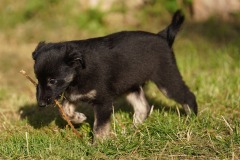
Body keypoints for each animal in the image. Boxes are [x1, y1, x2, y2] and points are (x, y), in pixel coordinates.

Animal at [32, 10, 197, 138]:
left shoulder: (103, 101)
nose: (41, 104)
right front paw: (79, 118)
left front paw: (98, 146)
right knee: (143, 107)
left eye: (52, 80)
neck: (78, 73)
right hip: (130, 86)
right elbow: (65, 112)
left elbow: (100, 126)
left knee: (188, 95)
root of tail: (162, 37)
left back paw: (193, 119)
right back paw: (132, 131)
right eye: (38, 79)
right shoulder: (73, 96)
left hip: (166, 79)